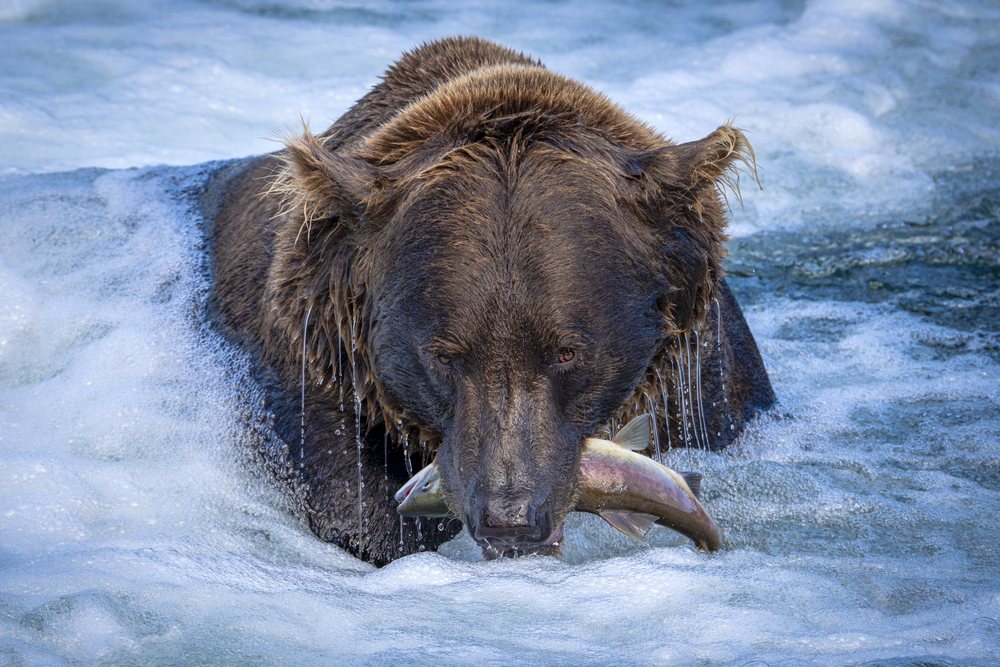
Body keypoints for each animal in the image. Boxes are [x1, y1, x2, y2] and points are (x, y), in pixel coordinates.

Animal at [201, 36, 774, 565]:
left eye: (566, 352)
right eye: (444, 355)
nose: (510, 517)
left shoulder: (702, 380)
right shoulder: (317, 373)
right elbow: (361, 511)